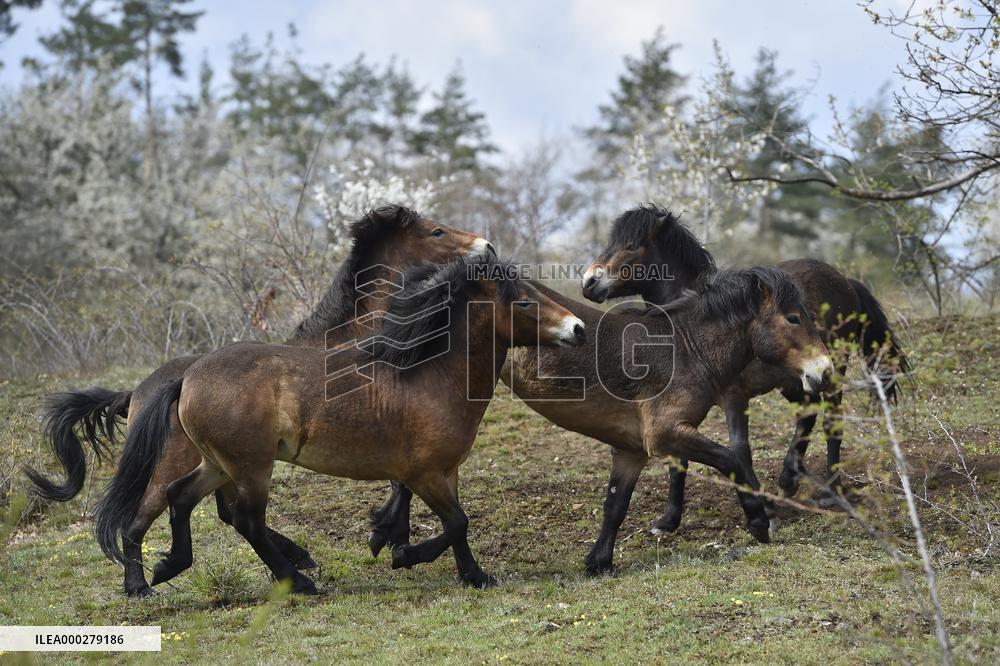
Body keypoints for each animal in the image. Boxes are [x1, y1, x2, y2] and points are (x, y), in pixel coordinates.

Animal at [26, 204, 494, 596]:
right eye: (437, 230)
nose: (486, 247)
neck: (352, 344)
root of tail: (142, 392)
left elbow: (404, 485)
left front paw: (391, 536)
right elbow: (404, 485)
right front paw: (386, 535)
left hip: (219, 464)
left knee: (212, 511)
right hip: (183, 466)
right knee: (147, 519)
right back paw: (144, 584)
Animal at [93, 255, 586, 594]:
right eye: (524, 300)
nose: (579, 329)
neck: (427, 375)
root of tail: (188, 376)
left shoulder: (448, 471)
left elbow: (457, 527)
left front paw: (472, 574)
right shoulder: (425, 475)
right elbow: (457, 522)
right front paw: (407, 555)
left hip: (217, 464)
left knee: (179, 497)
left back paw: (161, 571)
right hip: (251, 467)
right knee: (247, 520)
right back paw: (298, 581)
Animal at [370, 264, 832, 575]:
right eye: (793, 317)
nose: (824, 371)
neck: (685, 348)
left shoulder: (632, 450)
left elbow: (616, 505)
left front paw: (599, 562)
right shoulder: (666, 435)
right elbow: (733, 458)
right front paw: (759, 523)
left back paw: (387, 532)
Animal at [581, 203, 910, 532]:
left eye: (631, 245)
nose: (589, 282)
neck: (694, 325)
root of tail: (845, 281)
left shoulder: (735, 397)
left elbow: (740, 450)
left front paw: (762, 510)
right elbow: (679, 458)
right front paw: (669, 519)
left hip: (830, 371)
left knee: (831, 420)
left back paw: (829, 489)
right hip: (795, 382)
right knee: (808, 413)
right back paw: (789, 480)